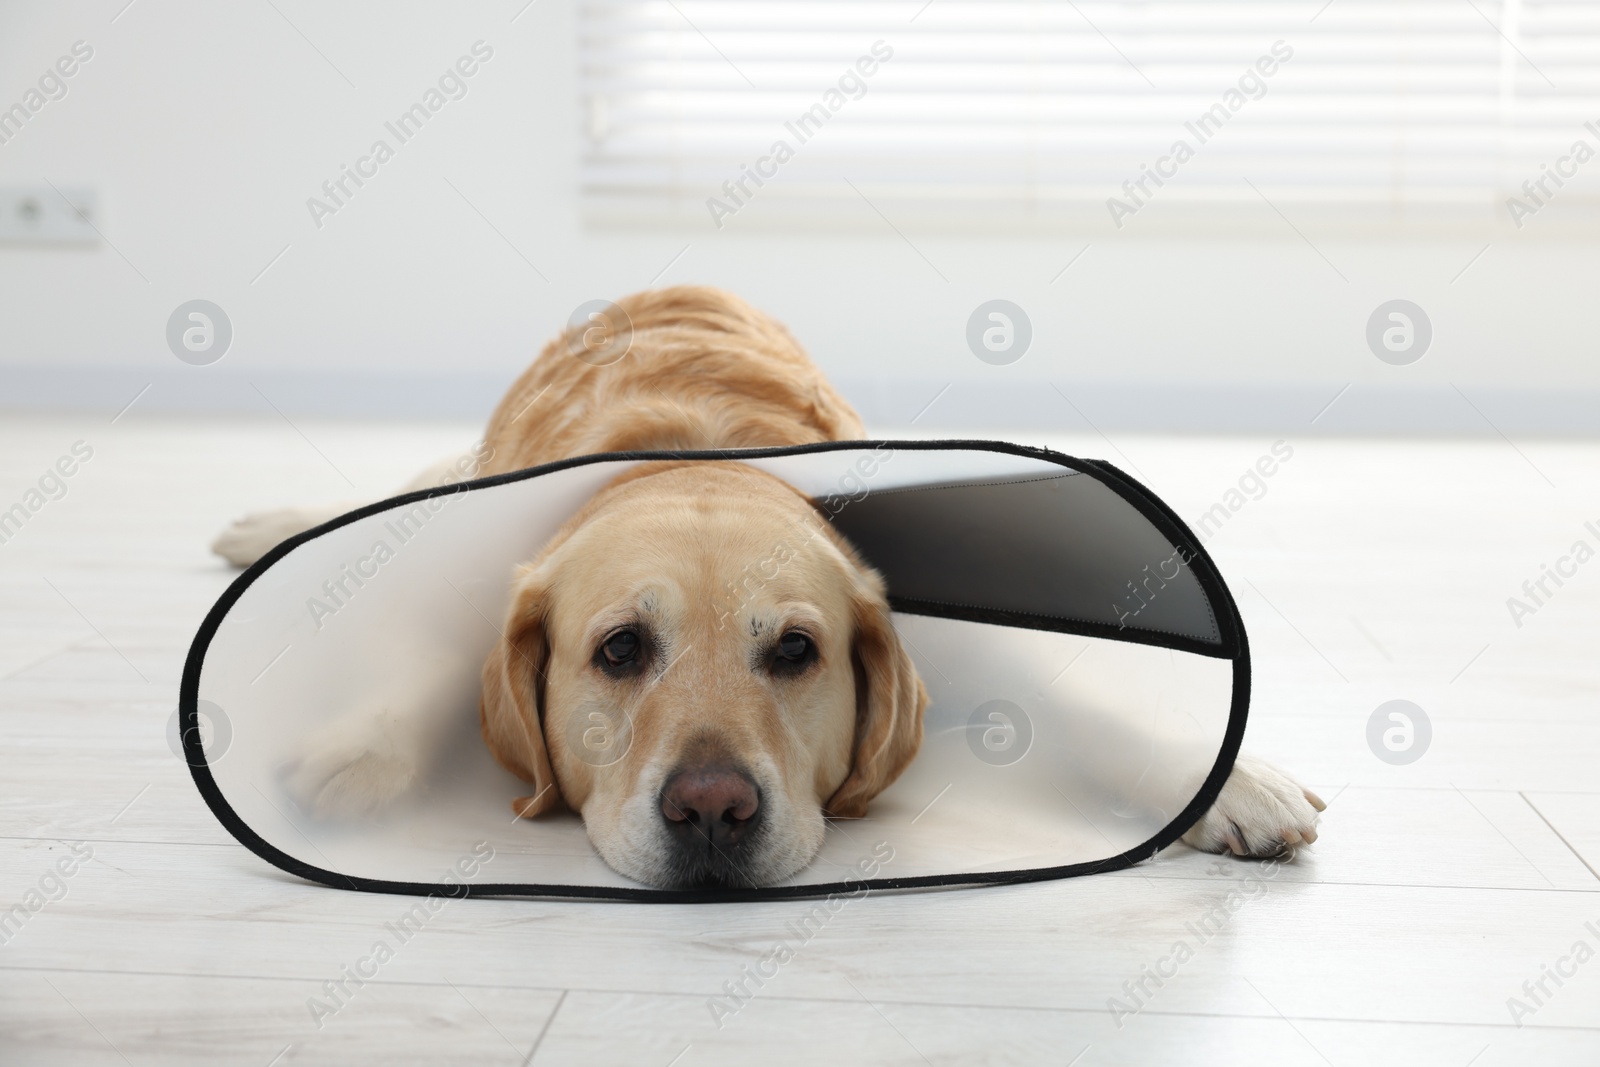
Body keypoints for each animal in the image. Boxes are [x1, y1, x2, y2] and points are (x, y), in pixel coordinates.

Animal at [212, 286, 1324, 895]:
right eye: (620, 649)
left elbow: (1087, 704)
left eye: (796, 650)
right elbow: (434, 656)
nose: (713, 809)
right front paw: (356, 749)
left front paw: (1230, 779)